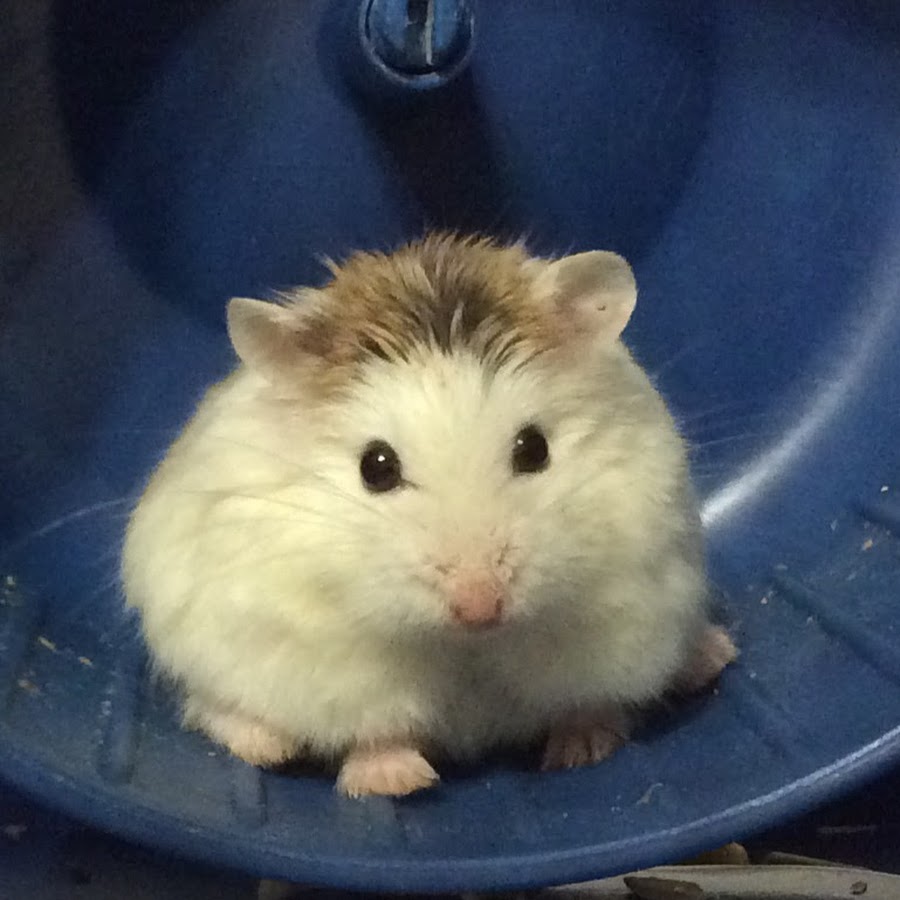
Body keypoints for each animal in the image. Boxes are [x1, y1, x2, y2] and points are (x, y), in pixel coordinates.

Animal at [121, 233, 736, 798]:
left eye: (534, 449)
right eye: (376, 467)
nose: (480, 607)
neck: (462, 645)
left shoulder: (629, 611)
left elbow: (588, 700)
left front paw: (582, 751)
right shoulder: (330, 661)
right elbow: (378, 729)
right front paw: (397, 782)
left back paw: (712, 656)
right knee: (214, 708)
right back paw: (267, 747)